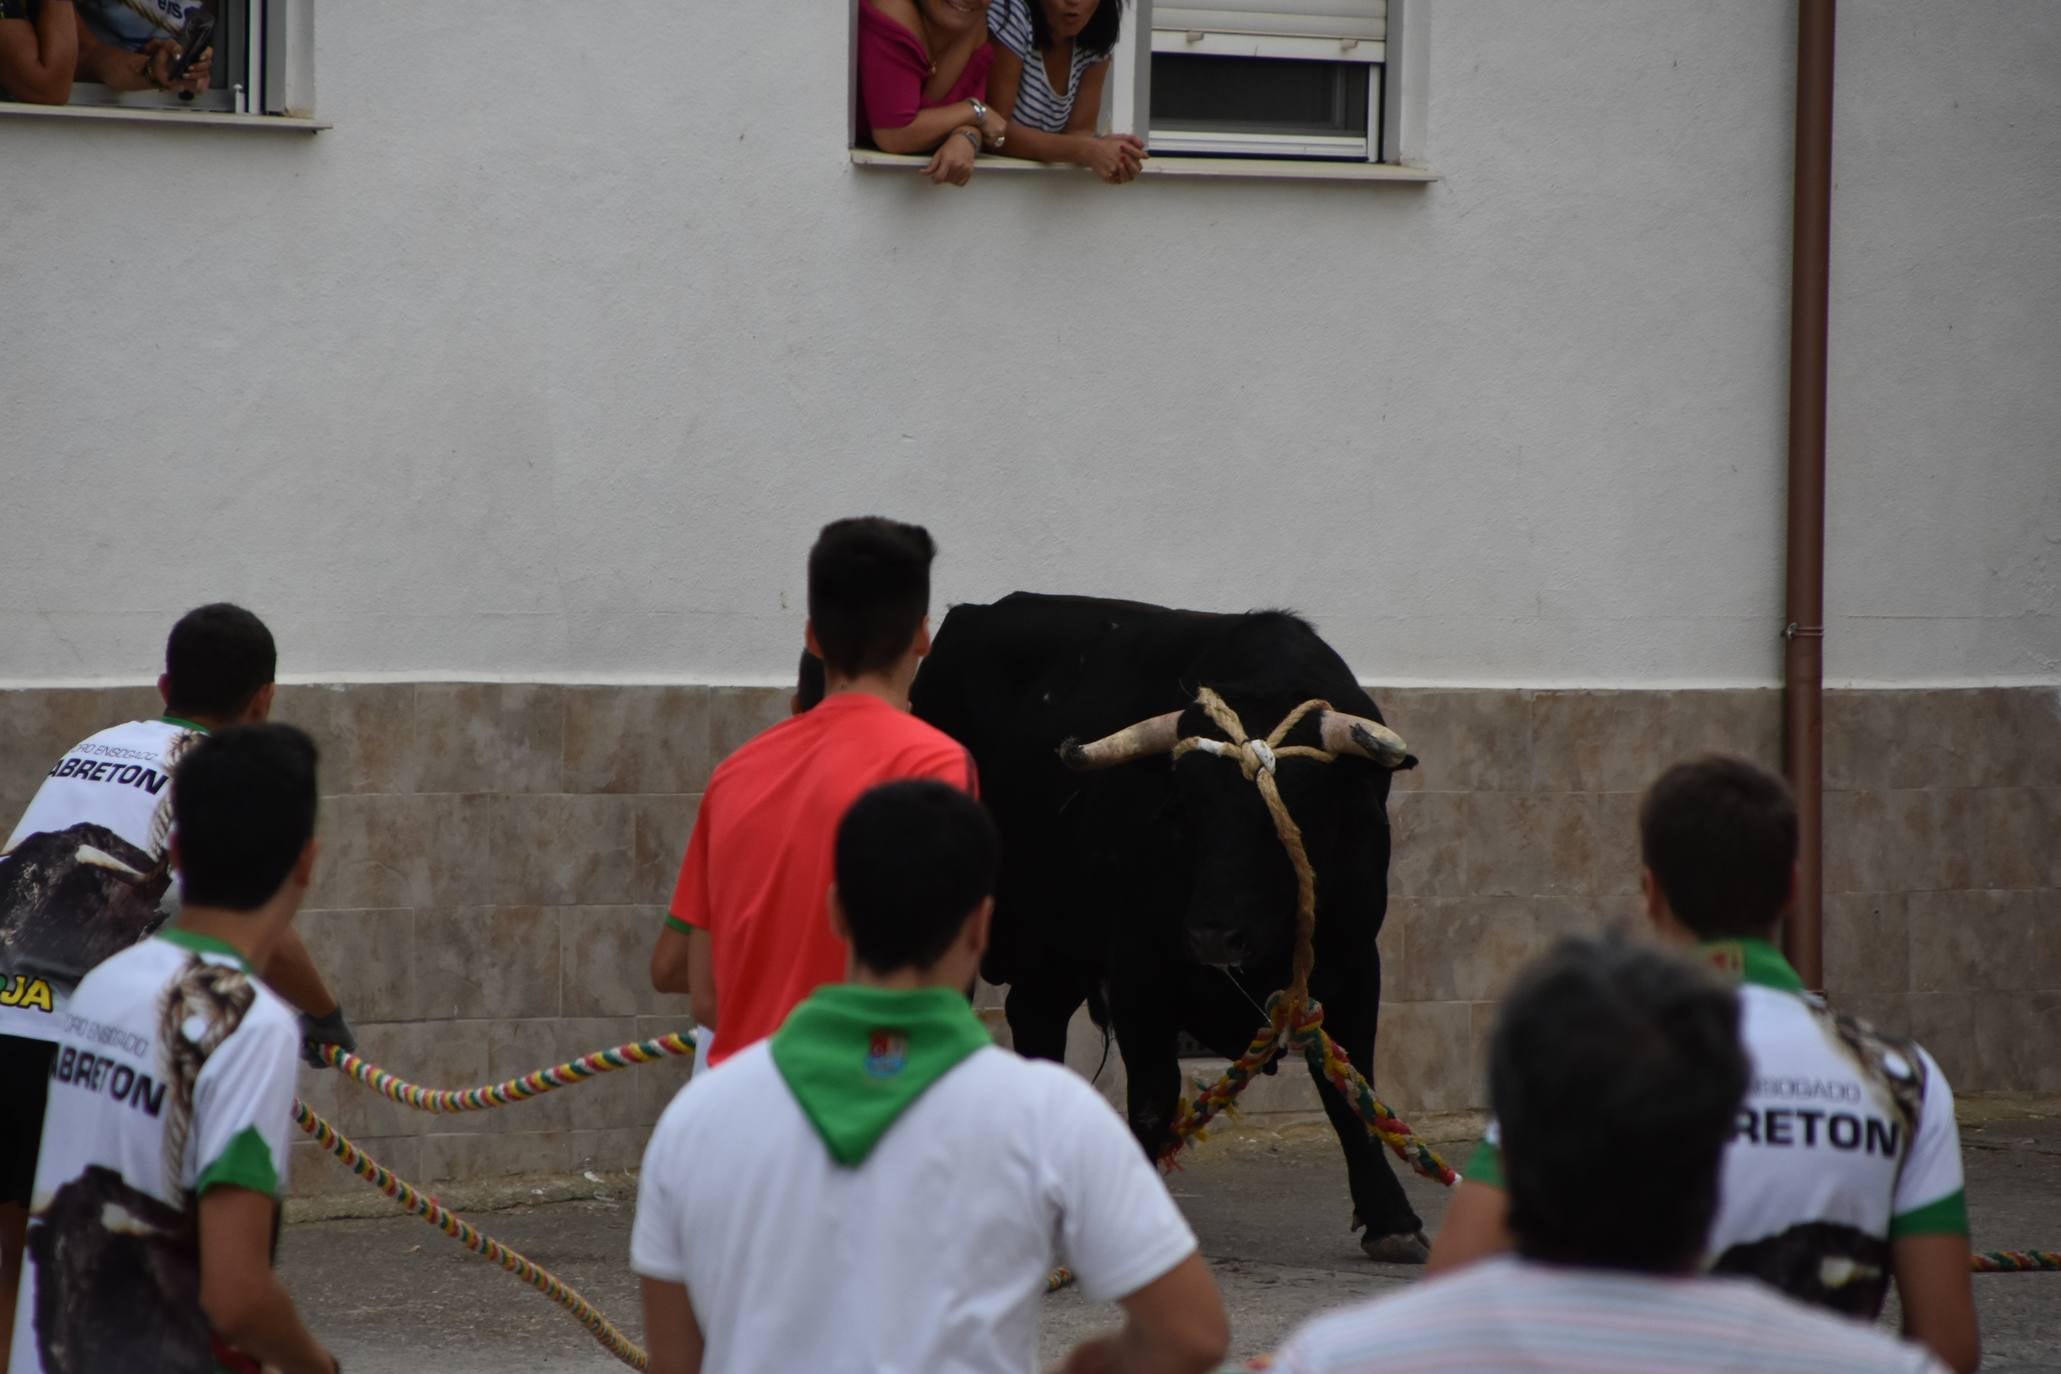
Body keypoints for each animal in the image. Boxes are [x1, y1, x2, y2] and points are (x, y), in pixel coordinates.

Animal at [910, 593, 1426, 1260]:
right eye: (1188, 808)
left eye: (1299, 805)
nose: (1213, 936)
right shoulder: (1139, 971)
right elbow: (1154, 1095)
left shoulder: (1354, 959)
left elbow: (1350, 1086)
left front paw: (1392, 1218)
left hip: (1058, 939)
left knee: (1036, 1016)